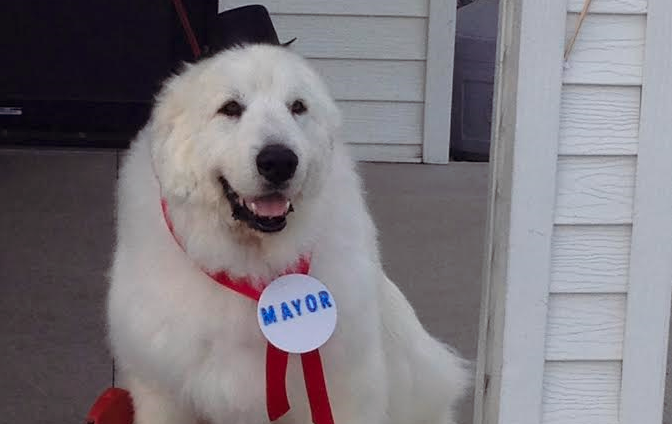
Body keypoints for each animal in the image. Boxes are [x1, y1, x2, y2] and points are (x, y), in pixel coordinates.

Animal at [107, 44, 470, 424]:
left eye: (297, 107)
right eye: (230, 108)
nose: (279, 161)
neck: (251, 266)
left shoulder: (346, 392)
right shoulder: (162, 394)